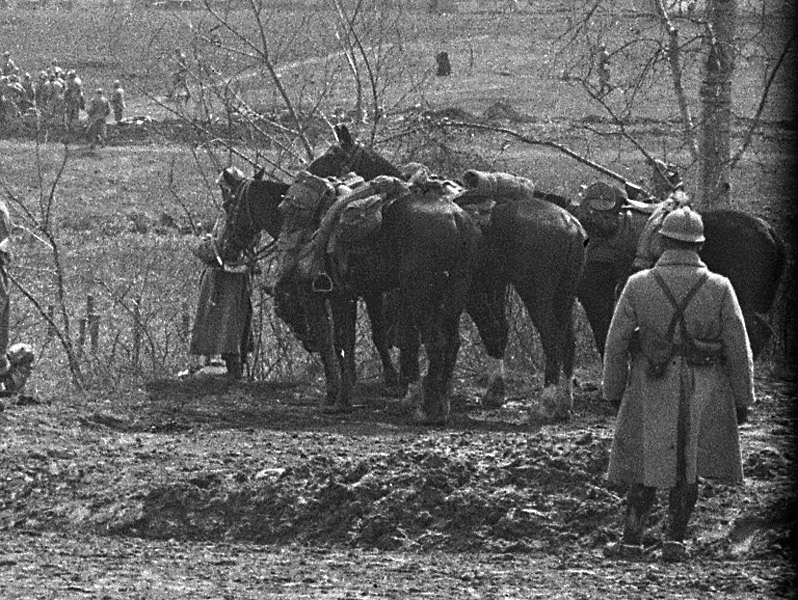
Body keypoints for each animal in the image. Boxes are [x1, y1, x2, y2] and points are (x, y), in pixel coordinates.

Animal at [272, 129, 484, 424]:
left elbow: (336, 343)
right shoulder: (363, 293)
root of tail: (458, 219)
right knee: (452, 343)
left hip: (421, 296)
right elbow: (367, 338)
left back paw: (430, 410)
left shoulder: (328, 296)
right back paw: (441, 404)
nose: (307, 342)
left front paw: (337, 399)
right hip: (453, 296)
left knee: (437, 343)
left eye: (333, 155)